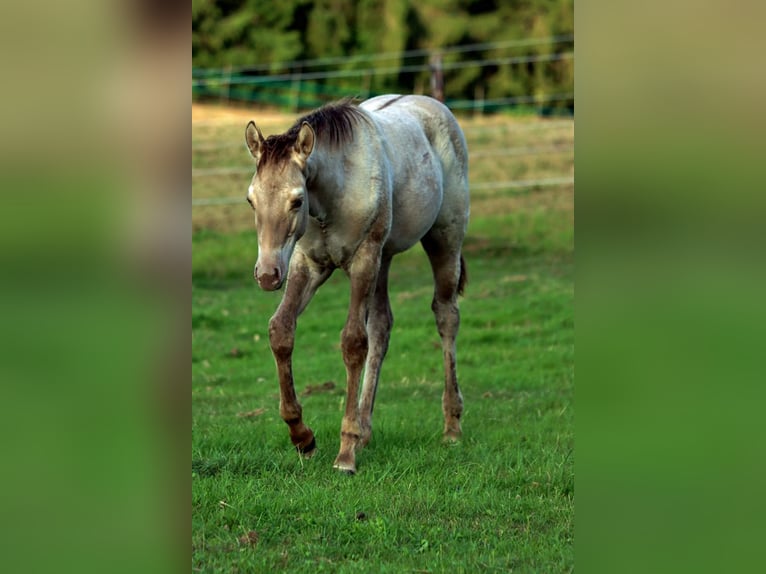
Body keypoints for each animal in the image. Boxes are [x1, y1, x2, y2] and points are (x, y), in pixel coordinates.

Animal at [244, 94, 470, 474]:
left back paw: (451, 426)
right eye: (251, 200)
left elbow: (353, 343)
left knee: (446, 316)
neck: (333, 196)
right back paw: (365, 430)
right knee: (381, 327)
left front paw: (345, 453)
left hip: (443, 241)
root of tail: (434, 106)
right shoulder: (309, 265)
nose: (267, 274)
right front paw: (302, 436)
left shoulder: (363, 259)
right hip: (384, 258)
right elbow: (281, 330)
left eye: (297, 200)